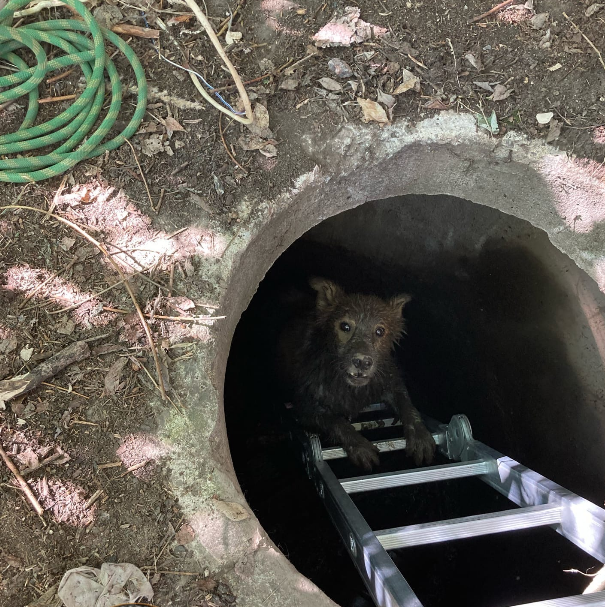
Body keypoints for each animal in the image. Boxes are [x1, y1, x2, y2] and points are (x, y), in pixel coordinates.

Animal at [278, 278, 434, 472]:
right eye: (345, 326)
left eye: (380, 331)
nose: (362, 362)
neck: (350, 388)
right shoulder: (304, 407)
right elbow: (336, 421)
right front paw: (360, 446)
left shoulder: (390, 381)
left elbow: (407, 405)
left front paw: (420, 436)